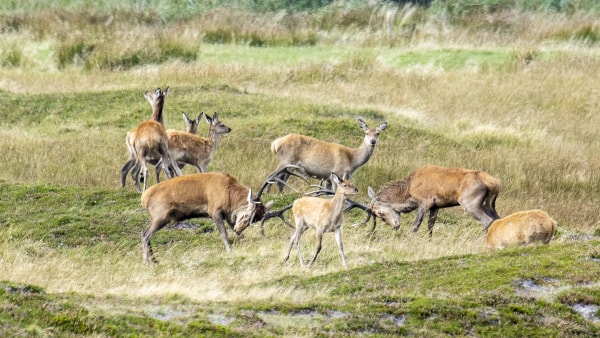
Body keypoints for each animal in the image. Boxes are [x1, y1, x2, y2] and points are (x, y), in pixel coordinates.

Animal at [366, 165, 502, 236]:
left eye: (380, 214)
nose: (395, 227)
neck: (409, 190)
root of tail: (494, 183)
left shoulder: (424, 203)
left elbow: (416, 225)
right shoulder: (435, 206)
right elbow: (430, 226)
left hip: (470, 203)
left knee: (486, 221)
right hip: (489, 205)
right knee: (497, 218)